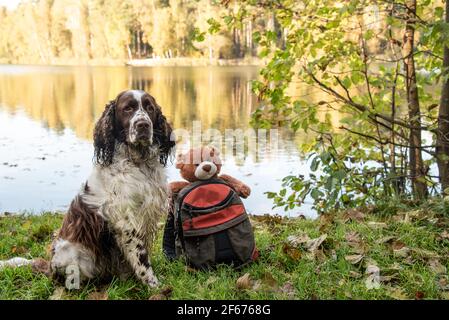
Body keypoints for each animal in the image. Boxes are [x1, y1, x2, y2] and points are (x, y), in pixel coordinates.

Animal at [48, 90, 174, 288]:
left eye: (150, 108)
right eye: (127, 108)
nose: (143, 125)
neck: (139, 164)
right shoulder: (127, 222)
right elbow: (141, 259)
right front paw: (153, 285)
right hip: (74, 254)